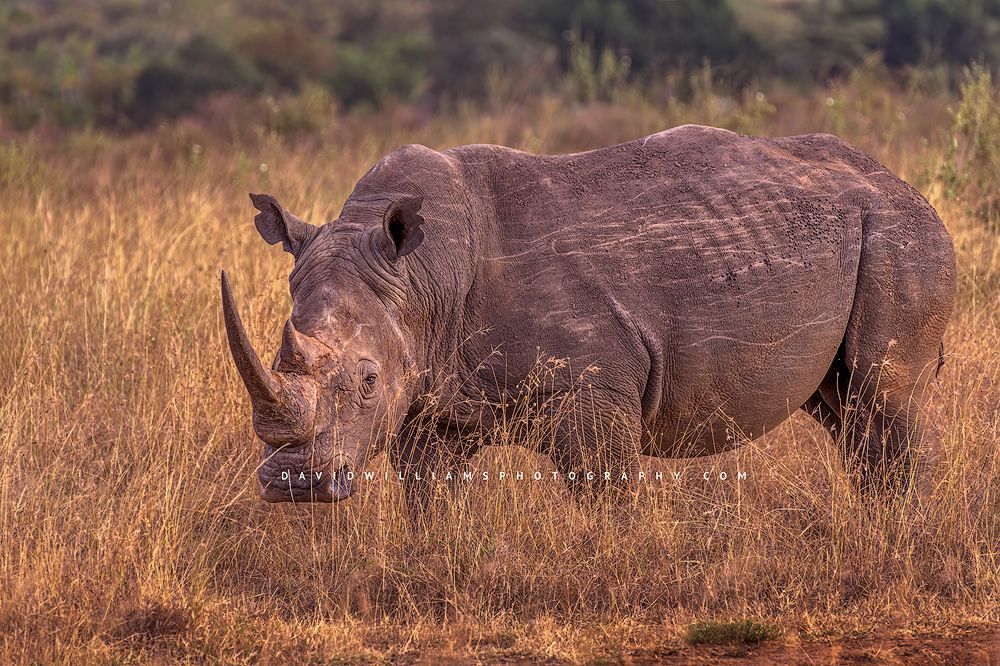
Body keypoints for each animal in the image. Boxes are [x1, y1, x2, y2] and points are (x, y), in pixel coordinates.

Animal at [221, 124, 955, 508]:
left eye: (368, 381)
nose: (293, 485)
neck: (420, 279)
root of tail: (904, 184)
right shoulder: (429, 395)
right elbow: (429, 496)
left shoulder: (595, 387)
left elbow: (604, 495)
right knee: (844, 410)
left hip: (899, 233)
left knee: (884, 395)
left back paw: (903, 540)